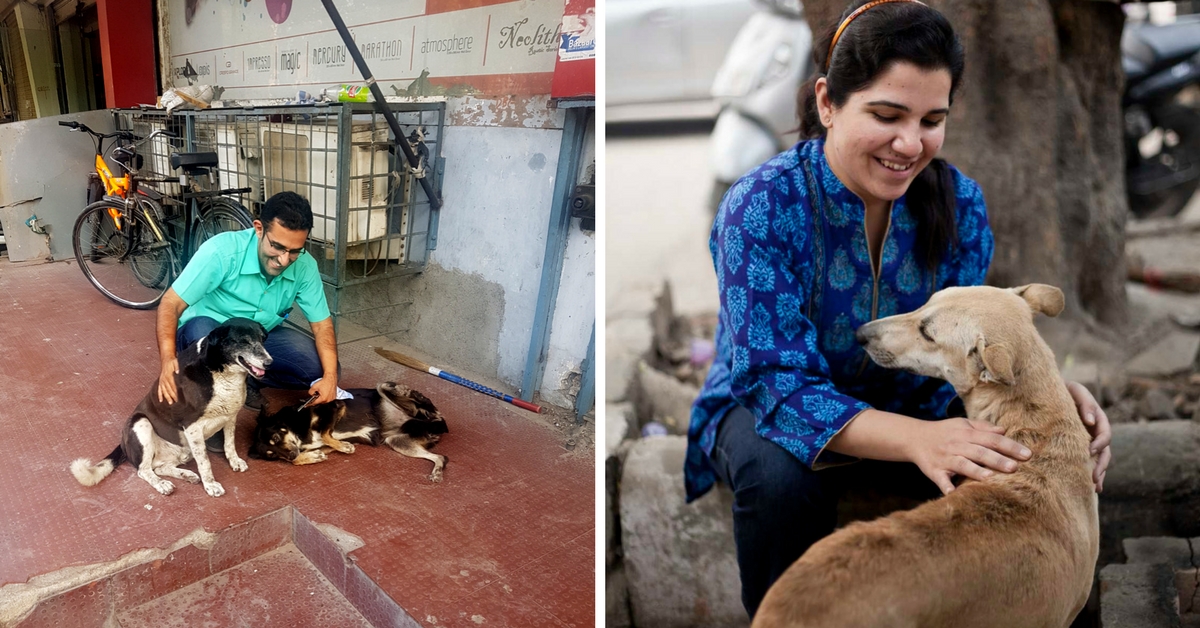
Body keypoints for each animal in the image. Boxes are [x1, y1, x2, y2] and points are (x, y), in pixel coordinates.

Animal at [70, 319, 272, 497]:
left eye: (263, 339)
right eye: (244, 341)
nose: (270, 362)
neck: (217, 370)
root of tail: (123, 443)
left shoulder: (230, 416)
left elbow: (230, 444)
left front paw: (234, 461)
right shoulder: (192, 426)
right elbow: (205, 462)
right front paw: (211, 485)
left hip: (182, 451)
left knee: (160, 467)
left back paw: (186, 475)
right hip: (141, 423)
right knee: (144, 470)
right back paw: (162, 484)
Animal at [249, 384, 451, 482]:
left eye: (276, 437)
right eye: (272, 455)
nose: (291, 455)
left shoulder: (334, 406)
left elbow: (325, 434)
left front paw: (345, 447)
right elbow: (311, 451)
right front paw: (313, 457)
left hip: (391, 395)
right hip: (398, 442)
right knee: (441, 457)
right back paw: (437, 472)